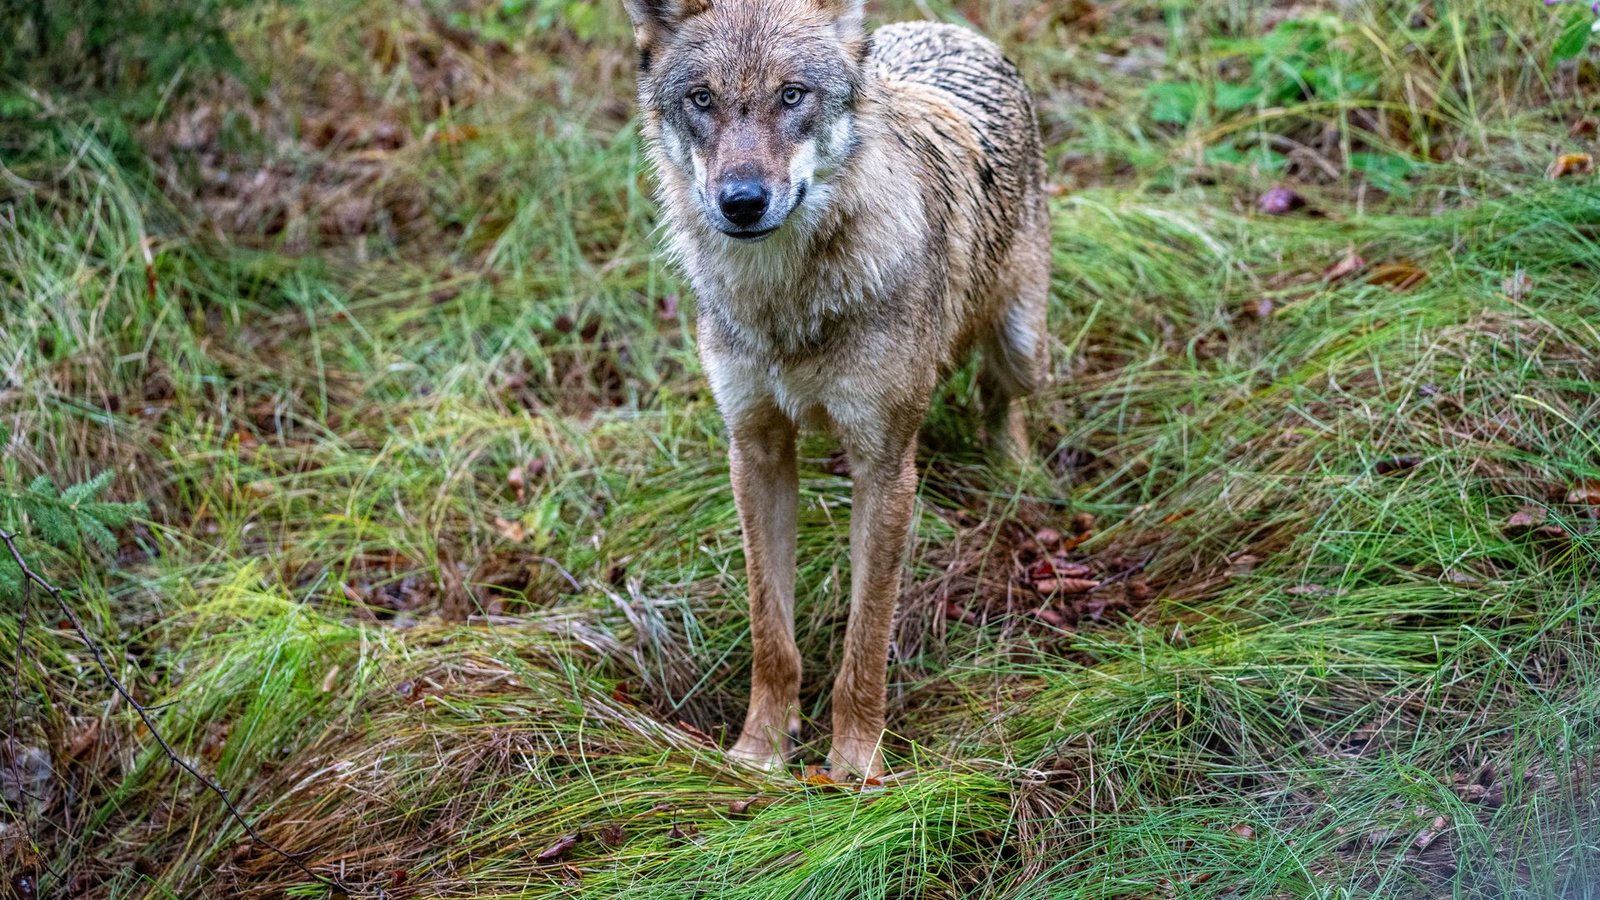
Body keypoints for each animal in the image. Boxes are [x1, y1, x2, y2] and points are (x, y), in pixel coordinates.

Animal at [623, 0, 1049, 779]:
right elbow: (772, 633)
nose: (742, 201)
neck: (786, 305)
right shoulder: (755, 450)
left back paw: (1017, 476)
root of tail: (947, 28)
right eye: (702, 100)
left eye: (792, 95)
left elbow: (865, 641)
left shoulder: (884, 467)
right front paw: (760, 752)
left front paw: (854, 769)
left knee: (1001, 399)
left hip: (1021, 347)